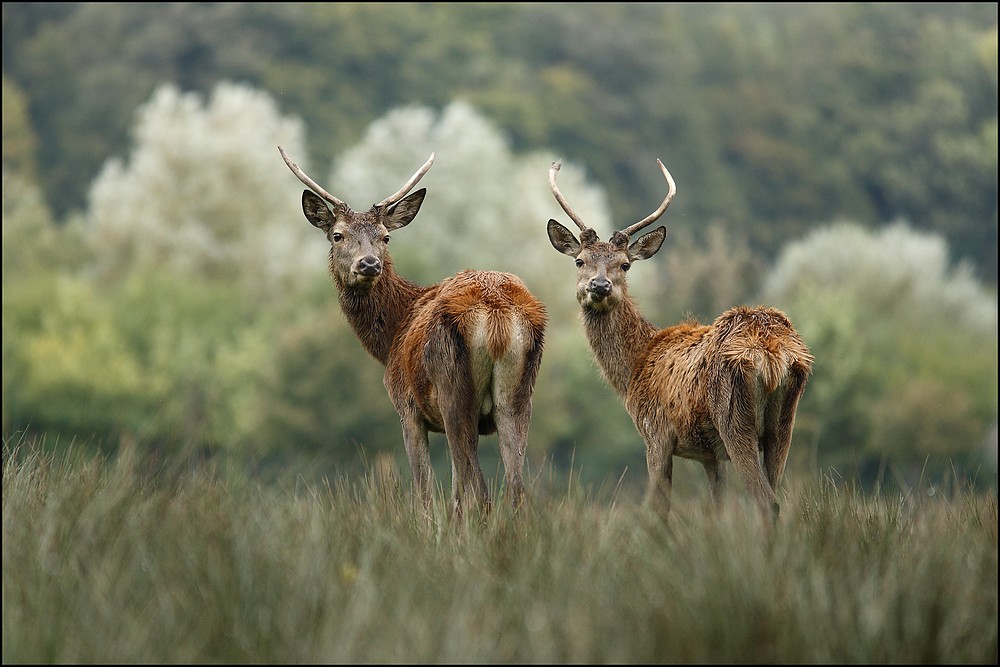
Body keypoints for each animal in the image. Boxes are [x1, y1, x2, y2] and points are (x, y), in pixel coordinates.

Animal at [280, 147, 548, 516]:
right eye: (338, 235)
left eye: (385, 236)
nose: (369, 264)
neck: (393, 332)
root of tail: (497, 315)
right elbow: (454, 496)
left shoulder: (406, 406)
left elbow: (425, 493)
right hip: (520, 395)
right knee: (516, 491)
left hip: (453, 389)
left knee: (480, 491)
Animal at [548, 158, 812, 520]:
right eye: (580, 261)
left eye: (625, 265)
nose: (599, 286)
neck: (634, 368)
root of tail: (774, 354)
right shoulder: (711, 456)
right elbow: (716, 511)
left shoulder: (655, 434)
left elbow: (659, 508)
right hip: (783, 426)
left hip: (734, 417)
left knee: (766, 501)